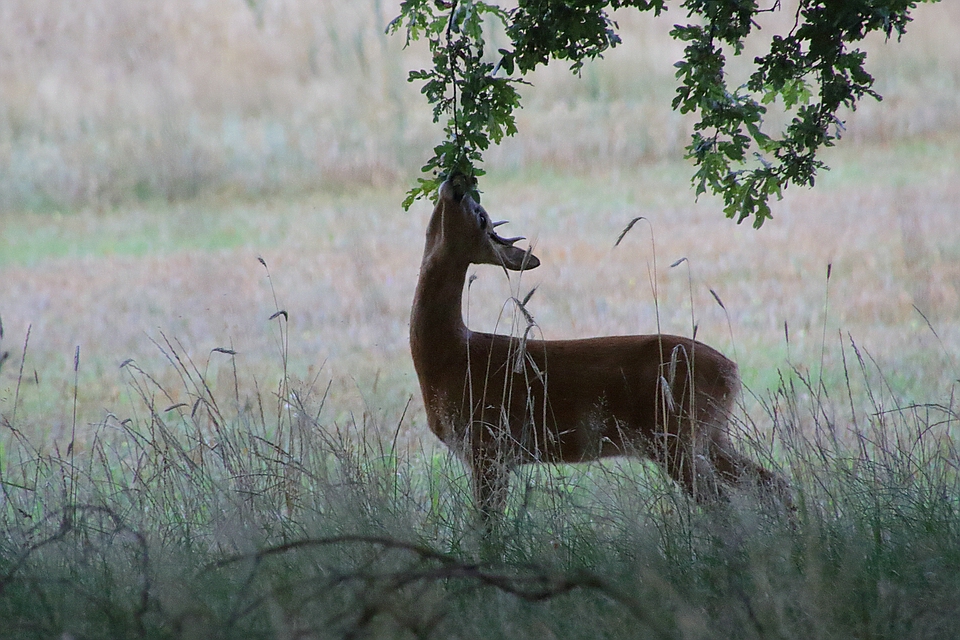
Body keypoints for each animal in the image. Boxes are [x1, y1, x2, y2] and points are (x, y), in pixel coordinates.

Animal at [408, 175, 792, 524]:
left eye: (481, 215)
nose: (459, 180)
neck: (451, 356)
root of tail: (733, 370)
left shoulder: (488, 446)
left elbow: (487, 529)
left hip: (676, 437)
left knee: (726, 508)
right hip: (711, 437)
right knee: (773, 482)